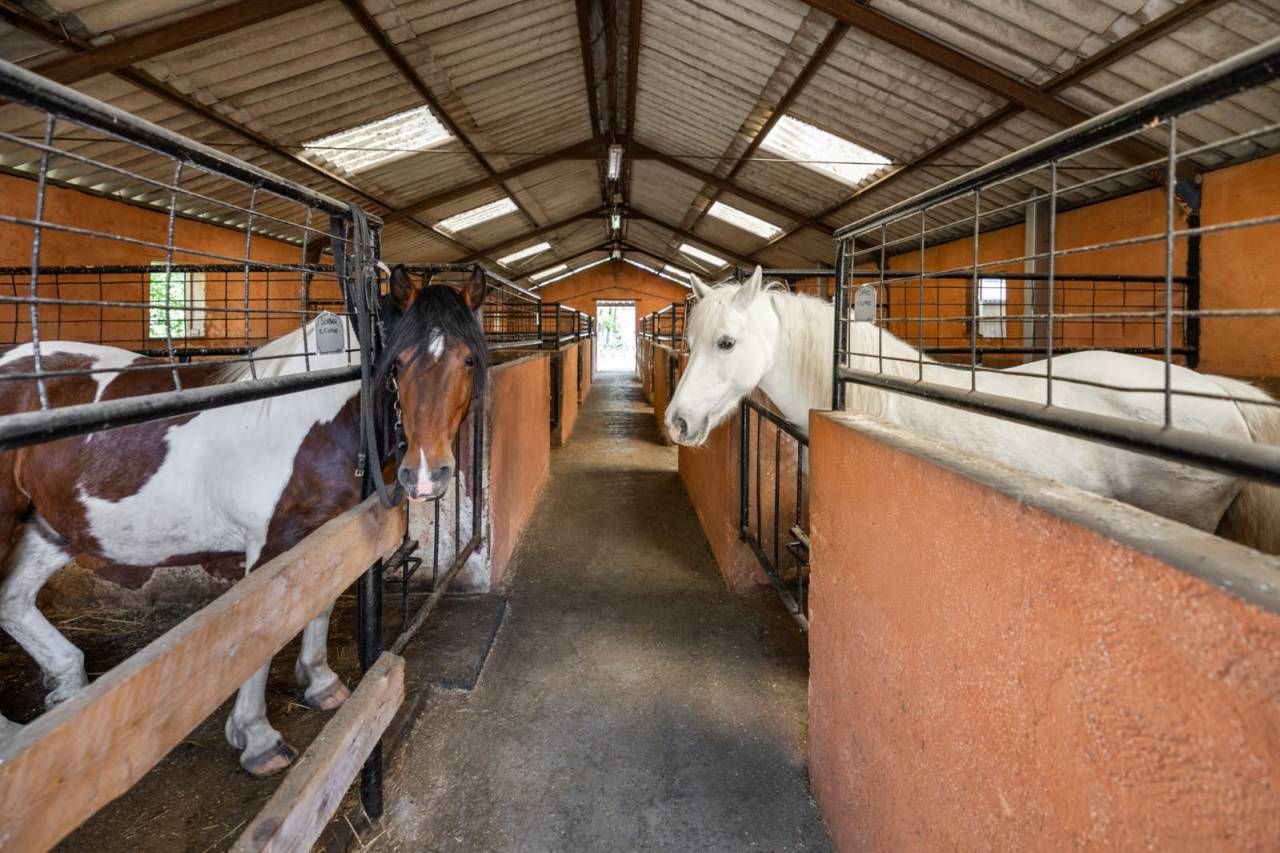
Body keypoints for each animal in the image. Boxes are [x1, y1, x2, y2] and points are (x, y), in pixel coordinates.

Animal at [0, 264, 488, 776]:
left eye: (468, 360)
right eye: (397, 364)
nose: (427, 475)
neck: (314, 415)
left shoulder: (325, 532)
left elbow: (319, 607)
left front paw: (321, 684)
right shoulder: (269, 546)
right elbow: (263, 632)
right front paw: (257, 737)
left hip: (53, 526)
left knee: (12, 601)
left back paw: (65, 686)